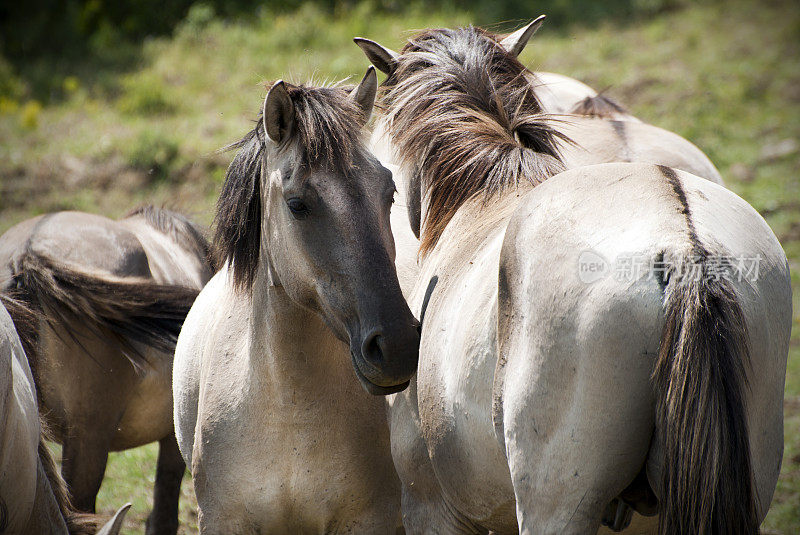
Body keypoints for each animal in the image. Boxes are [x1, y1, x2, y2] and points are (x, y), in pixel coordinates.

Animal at [173, 69, 422, 532]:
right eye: (297, 205)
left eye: (390, 193)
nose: (397, 346)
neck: (289, 413)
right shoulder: (221, 520)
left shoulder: (370, 520)